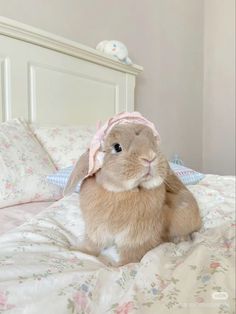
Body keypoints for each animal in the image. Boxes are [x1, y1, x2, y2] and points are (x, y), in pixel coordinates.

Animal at [64, 120, 201, 264]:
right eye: (117, 147)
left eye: (154, 143)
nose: (150, 157)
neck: (122, 192)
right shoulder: (96, 230)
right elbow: (92, 245)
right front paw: (77, 250)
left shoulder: (136, 238)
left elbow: (130, 256)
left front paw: (116, 266)